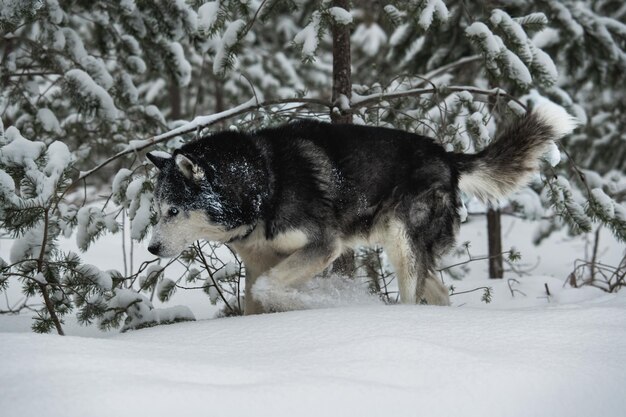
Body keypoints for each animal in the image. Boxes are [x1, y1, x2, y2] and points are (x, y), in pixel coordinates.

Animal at [147, 105, 576, 314]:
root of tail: (446, 156)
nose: (151, 248)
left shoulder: (323, 246)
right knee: (438, 291)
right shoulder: (257, 263)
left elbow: (270, 287)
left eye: (173, 211)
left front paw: (309, 305)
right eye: (157, 209)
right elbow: (254, 296)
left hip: (404, 242)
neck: (264, 182)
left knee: (413, 291)